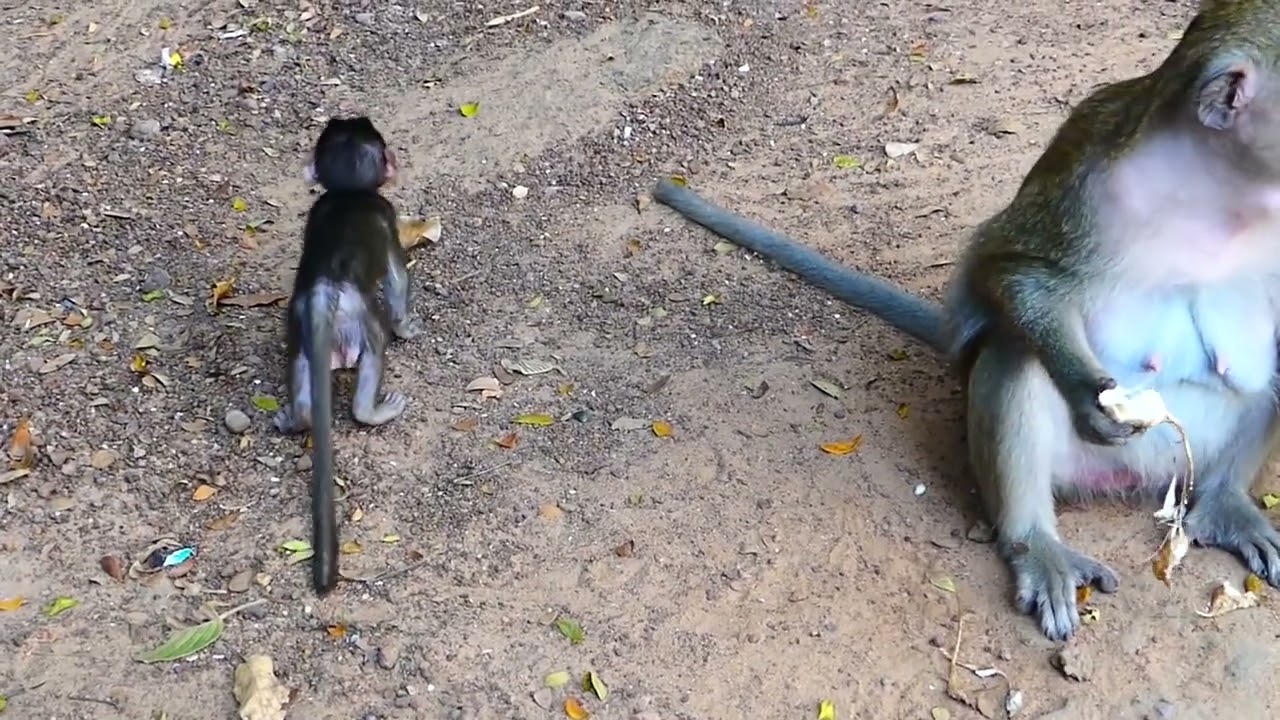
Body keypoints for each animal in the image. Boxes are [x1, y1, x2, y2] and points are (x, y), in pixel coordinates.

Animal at [274, 116, 423, 595]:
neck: (347, 195)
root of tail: (325, 293)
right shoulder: (387, 217)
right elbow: (396, 277)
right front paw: (407, 325)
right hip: (362, 324)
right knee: (375, 351)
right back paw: (375, 409)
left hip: (299, 336)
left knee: (301, 381)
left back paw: (294, 417)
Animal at [651, 0, 1280, 641]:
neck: (1220, 185)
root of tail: (1133, 481)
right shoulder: (1087, 173)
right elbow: (1008, 273)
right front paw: (1087, 394)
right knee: (1016, 354)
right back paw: (1035, 542)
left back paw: (1226, 504)